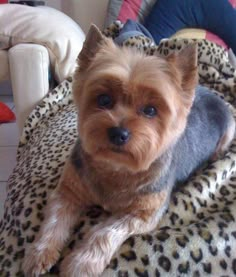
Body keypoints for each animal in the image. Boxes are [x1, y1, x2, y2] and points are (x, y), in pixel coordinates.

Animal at [23, 24, 235, 276]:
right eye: (104, 100)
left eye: (151, 110)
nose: (118, 133)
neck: (116, 168)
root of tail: (214, 96)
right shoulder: (69, 189)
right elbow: (55, 219)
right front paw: (39, 253)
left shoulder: (144, 213)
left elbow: (104, 232)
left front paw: (81, 263)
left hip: (229, 130)